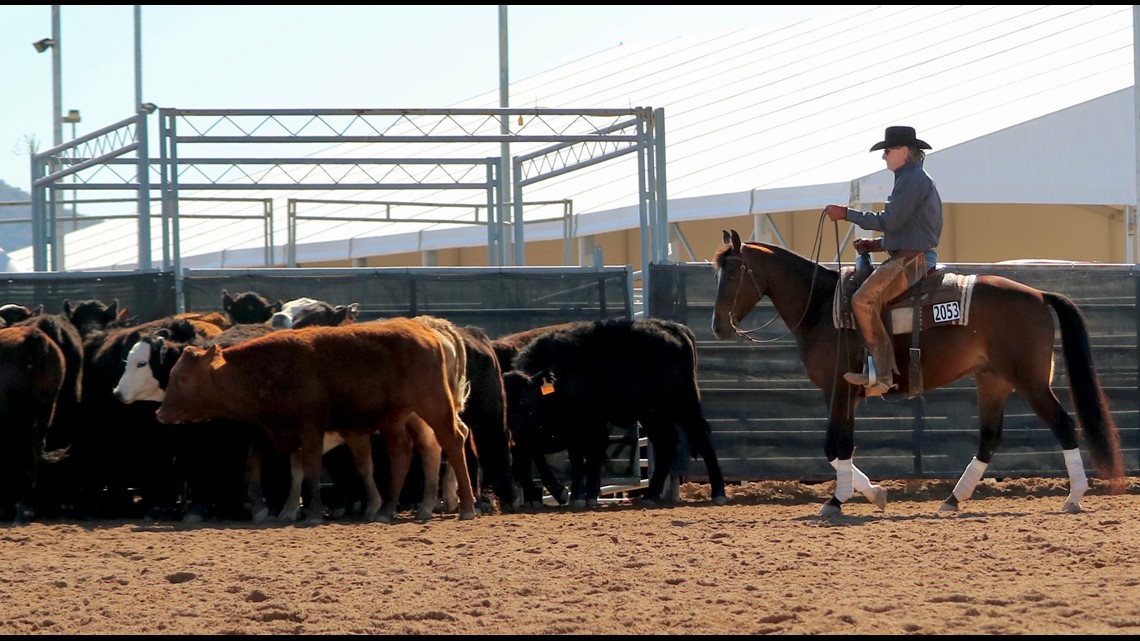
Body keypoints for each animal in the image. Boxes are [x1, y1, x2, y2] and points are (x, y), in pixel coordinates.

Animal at [710, 229, 1125, 517]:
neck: (823, 308)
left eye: (731, 276)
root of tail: (1039, 295)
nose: (718, 327)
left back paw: (1074, 496)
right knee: (989, 439)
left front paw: (837, 501)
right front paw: (875, 494)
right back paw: (953, 499)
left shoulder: (838, 390)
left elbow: (835, 445)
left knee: (1063, 425)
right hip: (992, 380)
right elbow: (840, 447)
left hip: (1029, 380)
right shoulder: (846, 394)